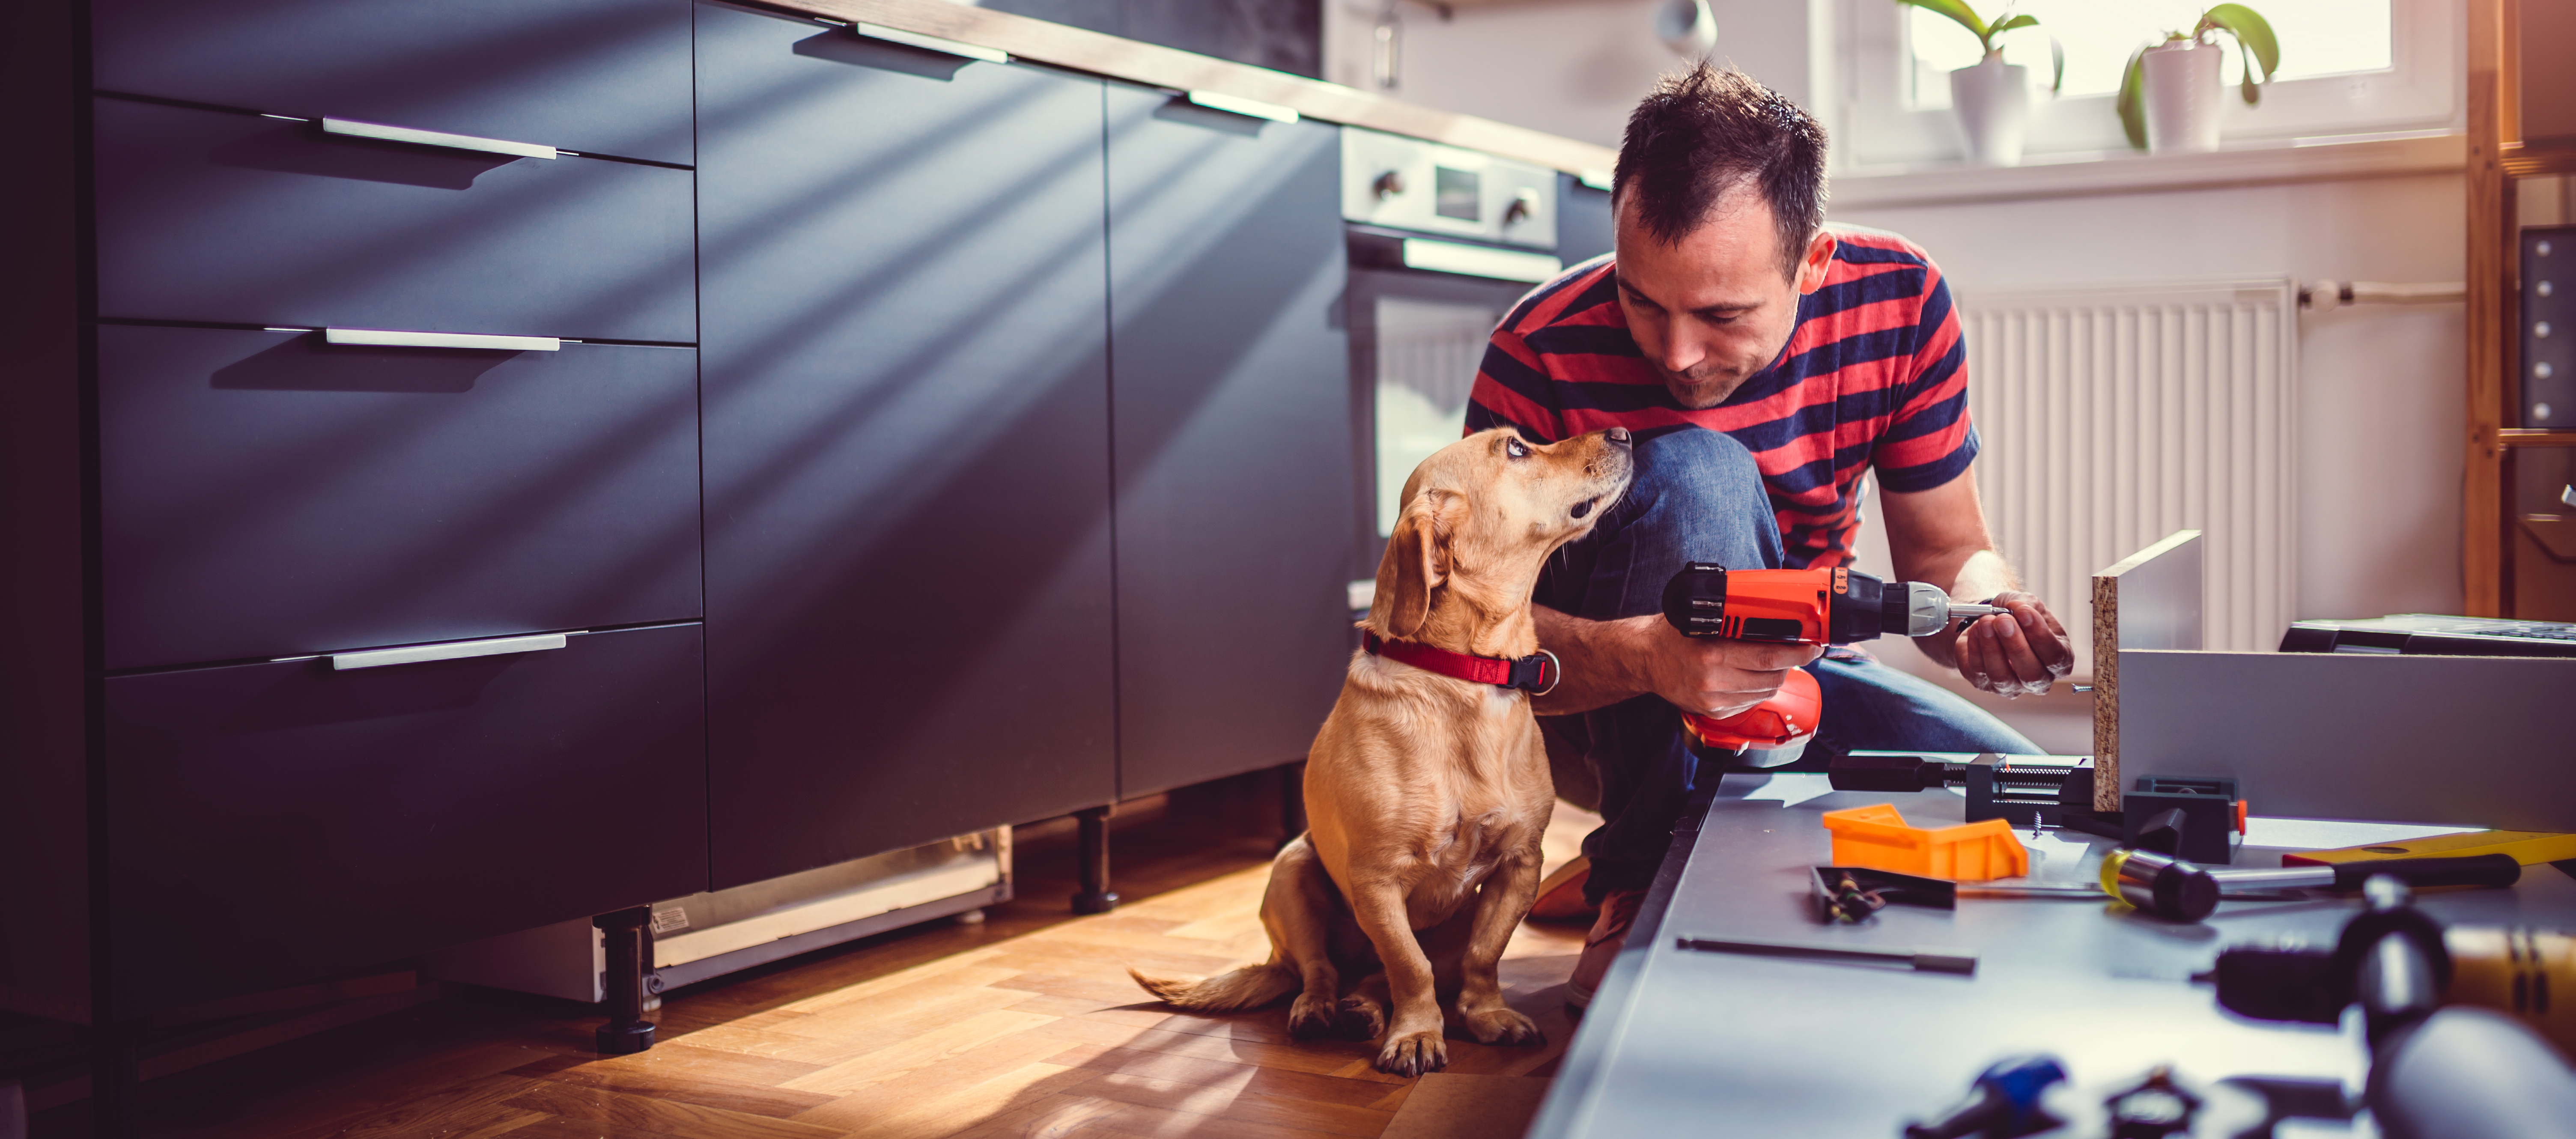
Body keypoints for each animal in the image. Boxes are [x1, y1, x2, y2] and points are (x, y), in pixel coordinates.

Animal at [1128, 428, 1628, 1077]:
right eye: (1516, 448)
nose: (1624, 432)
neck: (1461, 676)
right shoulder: (1376, 883)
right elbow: (1409, 968)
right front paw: (1416, 1034)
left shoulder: (1520, 866)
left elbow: (1483, 957)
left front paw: (1486, 1015)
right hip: (1291, 872)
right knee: (1321, 970)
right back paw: (1321, 1009)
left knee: (1374, 977)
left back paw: (1363, 1009)